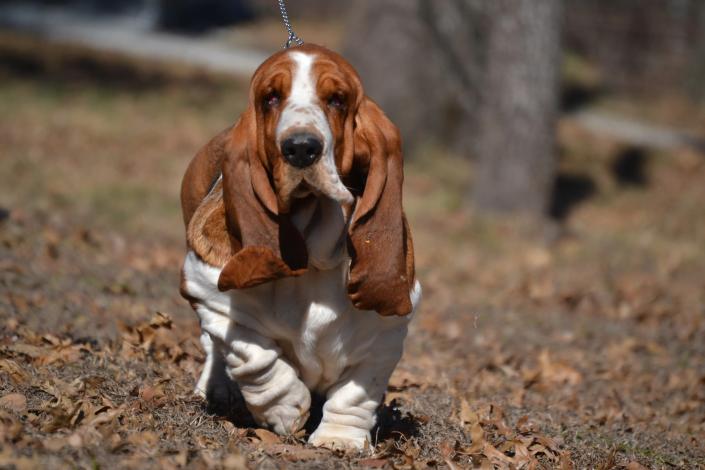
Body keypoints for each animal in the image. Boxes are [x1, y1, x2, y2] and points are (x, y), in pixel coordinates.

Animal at [180, 45, 418, 452]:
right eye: (270, 98)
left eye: (337, 99)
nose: (301, 147)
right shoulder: (206, 290)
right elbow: (252, 353)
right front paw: (286, 409)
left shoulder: (386, 333)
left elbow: (357, 392)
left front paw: (339, 440)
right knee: (215, 350)